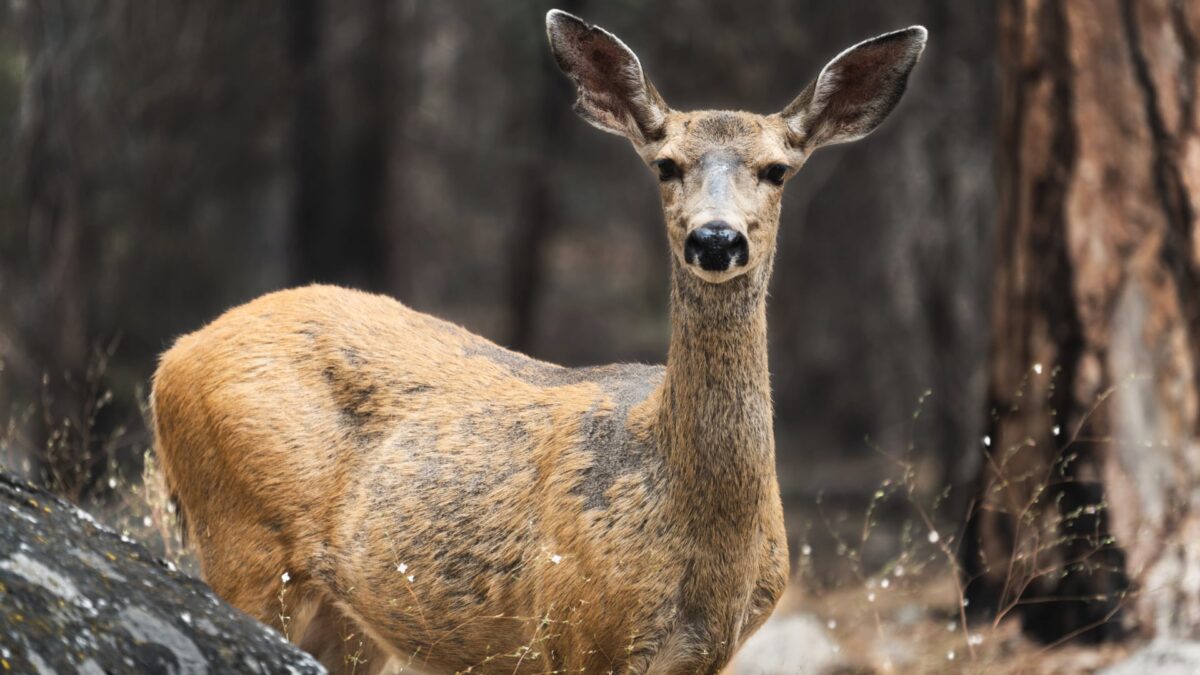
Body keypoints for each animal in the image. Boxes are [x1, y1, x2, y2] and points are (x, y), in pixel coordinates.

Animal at [150, 11, 926, 672]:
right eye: (666, 163)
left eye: (776, 169)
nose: (715, 238)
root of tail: (171, 359)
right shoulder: (574, 627)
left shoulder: (711, 651)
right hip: (243, 537)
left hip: (351, 612)